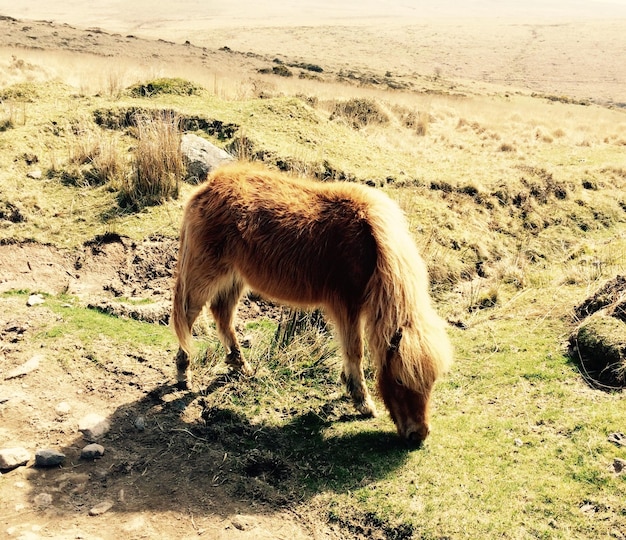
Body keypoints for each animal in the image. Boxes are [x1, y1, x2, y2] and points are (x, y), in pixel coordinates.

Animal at [173, 163, 450, 442]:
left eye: (431, 382)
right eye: (400, 381)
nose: (419, 434)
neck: (370, 244)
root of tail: (210, 184)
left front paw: (349, 386)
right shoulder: (346, 306)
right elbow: (355, 350)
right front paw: (362, 402)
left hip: (234, 278)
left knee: (222, 315)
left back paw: (241, 366)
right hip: (204, 276)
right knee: (187, 317)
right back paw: (184, 372)